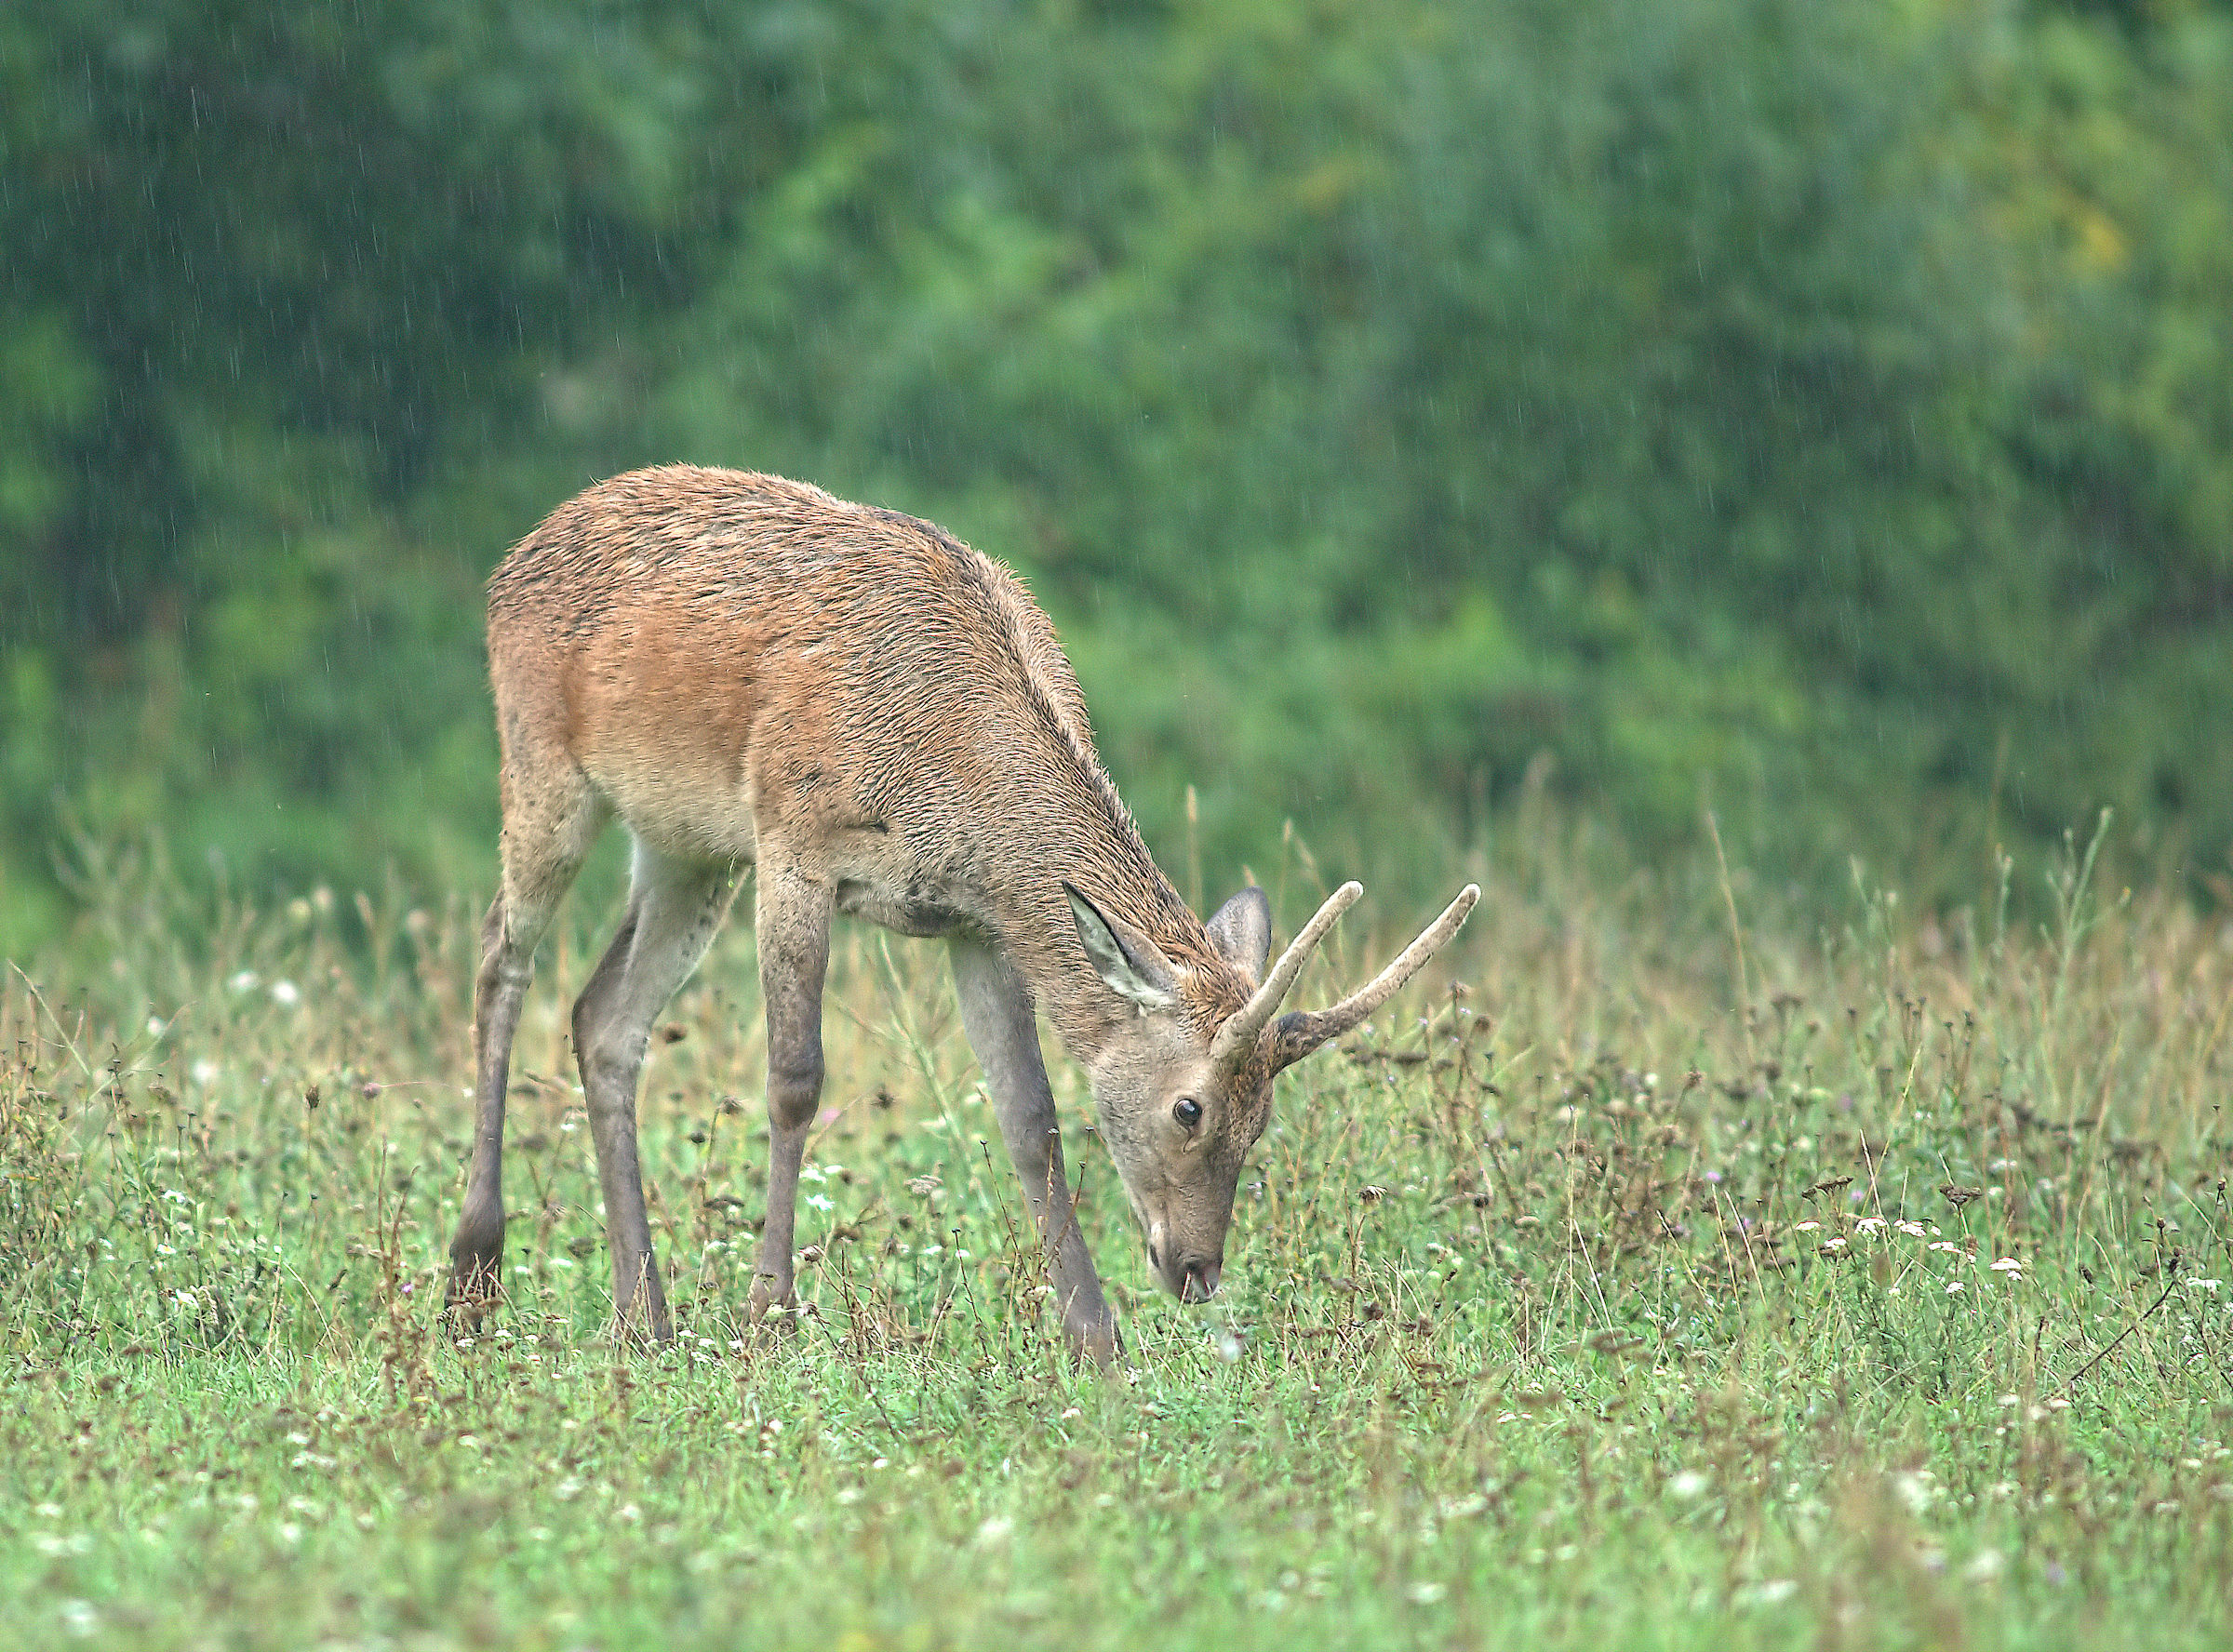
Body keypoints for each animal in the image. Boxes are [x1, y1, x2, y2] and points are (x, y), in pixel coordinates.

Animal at [445, 465, 1478, 1365]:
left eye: (1262, 1121)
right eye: (1190, 1107)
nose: (1196, 1270)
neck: (946, 771)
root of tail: (509, 561)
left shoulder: (982, 922)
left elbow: (1030, 1114)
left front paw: (1095, 1340)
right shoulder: (794, 838)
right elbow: (794, 1080)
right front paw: (769, 1319)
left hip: (687, 846)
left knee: (604, 1017)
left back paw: (644, 1317)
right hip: (545, 765)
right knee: (501, 955)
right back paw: (474, 1276)